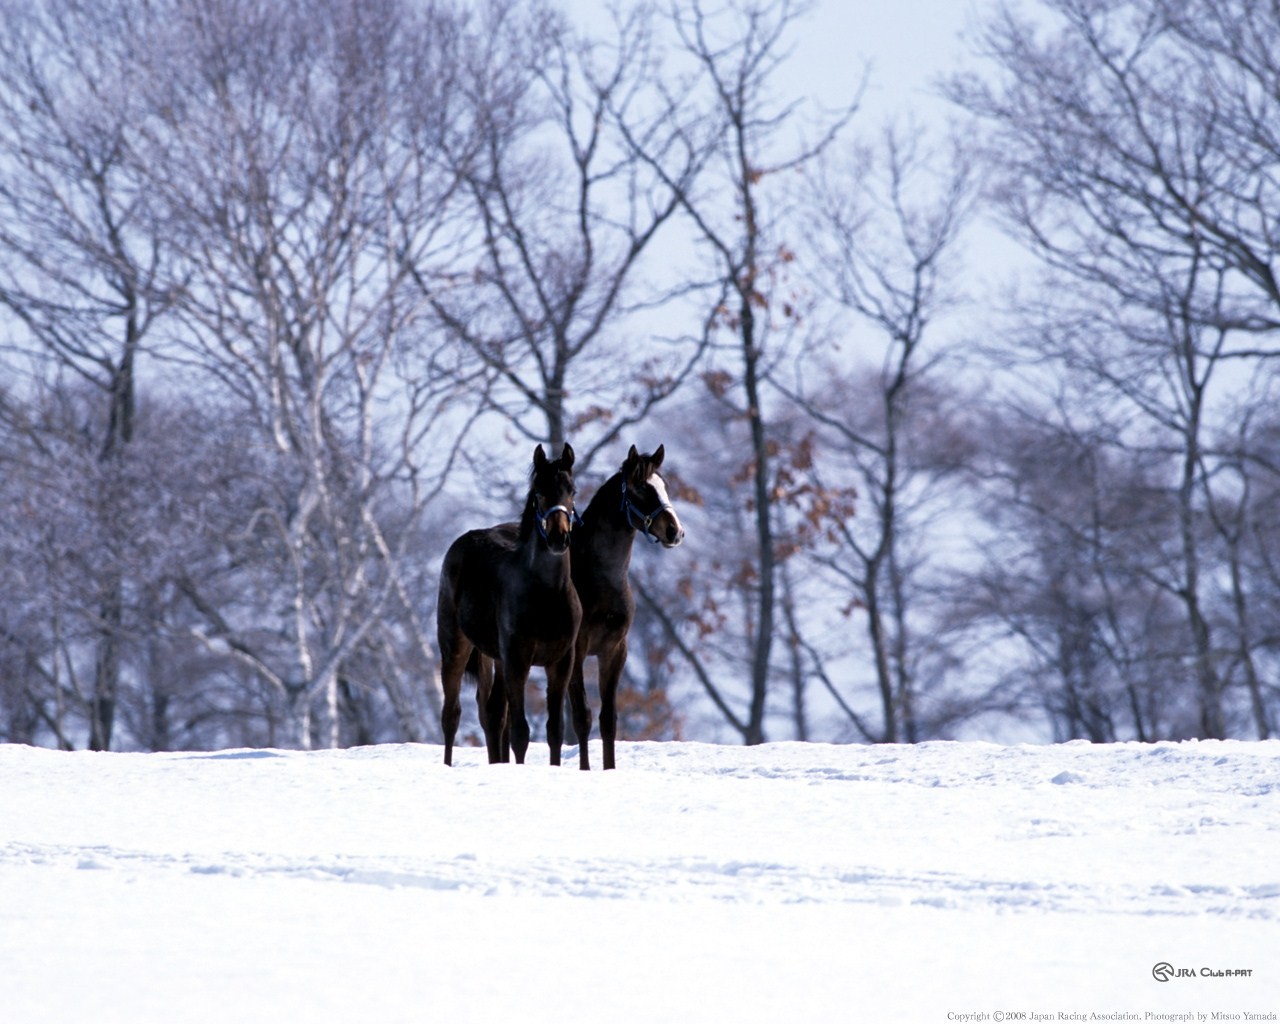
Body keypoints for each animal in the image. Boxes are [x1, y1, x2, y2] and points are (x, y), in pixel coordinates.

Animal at [437, 442, 583, 762]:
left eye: (572, 490)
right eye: (539, 491)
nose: (558, 538)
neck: (547, 595)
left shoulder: (561, 662)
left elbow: (555, 730)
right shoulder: (518, 661)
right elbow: (520, 733)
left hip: (494, 657)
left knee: (492, 713)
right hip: (457, 647)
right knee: (452, 715)